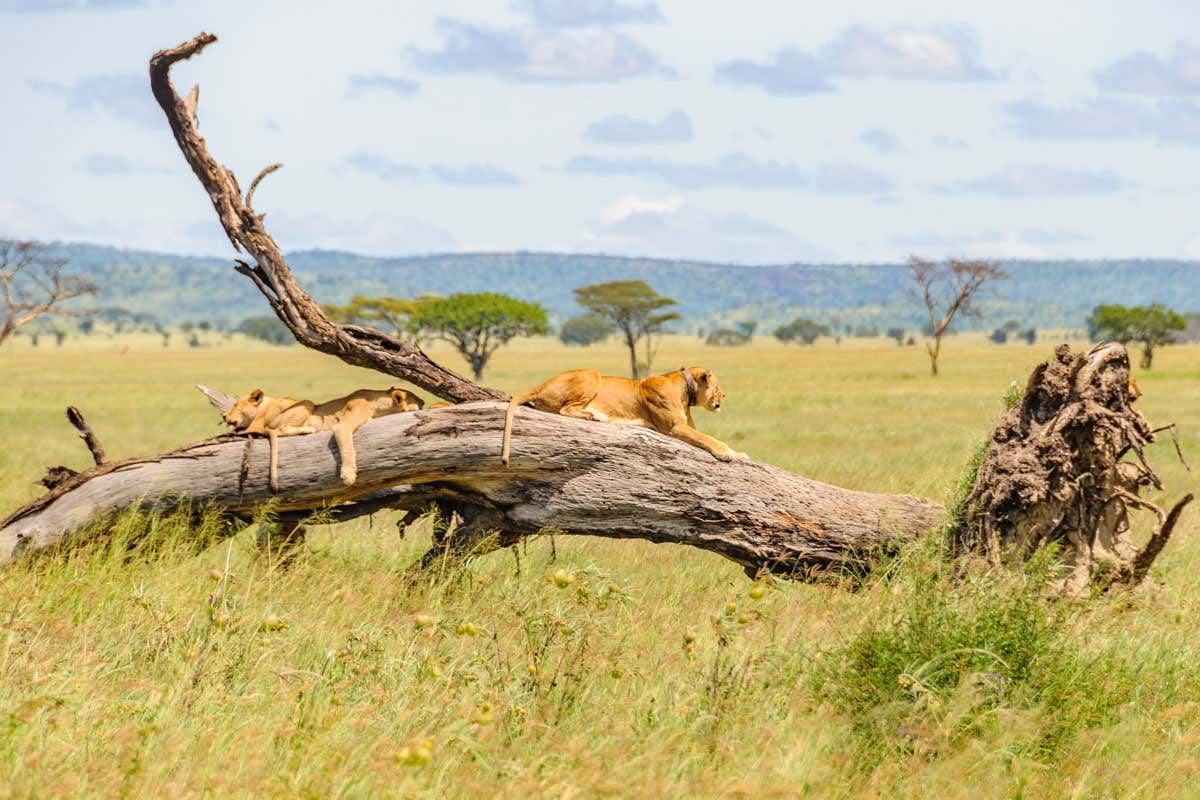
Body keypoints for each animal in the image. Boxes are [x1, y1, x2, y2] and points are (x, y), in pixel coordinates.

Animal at [224, 387, 424, 492]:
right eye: (417, 399)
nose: (424, 402)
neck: (378, 403)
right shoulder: (344, 424)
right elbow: (347, 446)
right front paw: (348, 475)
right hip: (304, 405)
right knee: (278, 430)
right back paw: (309, 429)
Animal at [500, 366, 747, 465]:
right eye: (717, 387)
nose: (724, 396)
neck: (687, 392)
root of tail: (541, 385)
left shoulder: (686, 425)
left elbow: (707, 436)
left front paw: (740, 454)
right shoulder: (674, 427)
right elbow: (708, 438)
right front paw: (724, 453)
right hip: (593, 374)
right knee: (565, 410)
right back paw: (597, 416)